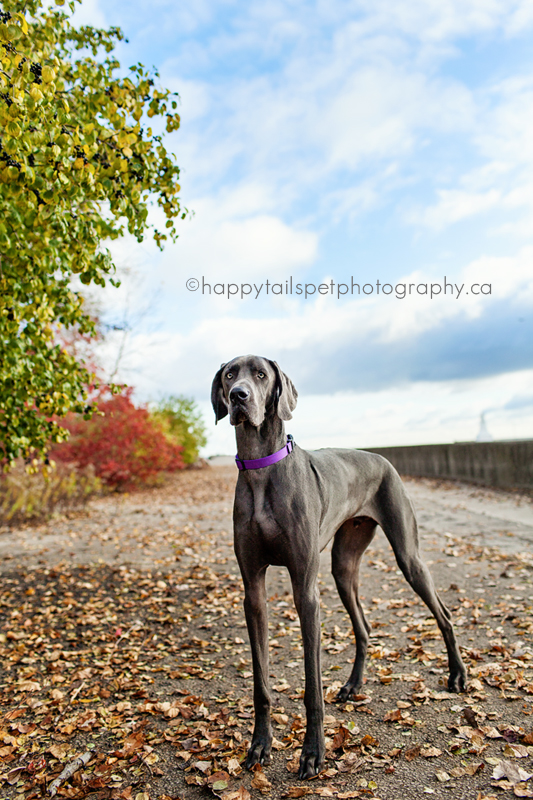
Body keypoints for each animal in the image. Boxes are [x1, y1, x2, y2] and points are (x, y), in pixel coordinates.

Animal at [212, 354, 466, 780]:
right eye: (230, 374)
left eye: (260, 374)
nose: (238, 397)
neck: (262, 469)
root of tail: (380, 456)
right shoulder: (253, 592)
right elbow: (261, 684)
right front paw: (260, 745)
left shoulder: (306, 591)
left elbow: (312, 688)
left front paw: (313, 753)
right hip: (343, 566)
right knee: (363, 628)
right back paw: (353, 685)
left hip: (407, 554)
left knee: (444, 614)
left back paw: (457, 674)